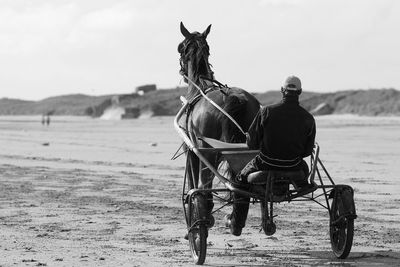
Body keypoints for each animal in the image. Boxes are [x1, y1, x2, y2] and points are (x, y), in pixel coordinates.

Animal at [177, 22, 260, 216]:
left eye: (180, 48)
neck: (199, 86)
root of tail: (235, 97)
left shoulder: (190, 150)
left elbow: (192, 184)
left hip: (207, 153)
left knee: (203, 189)